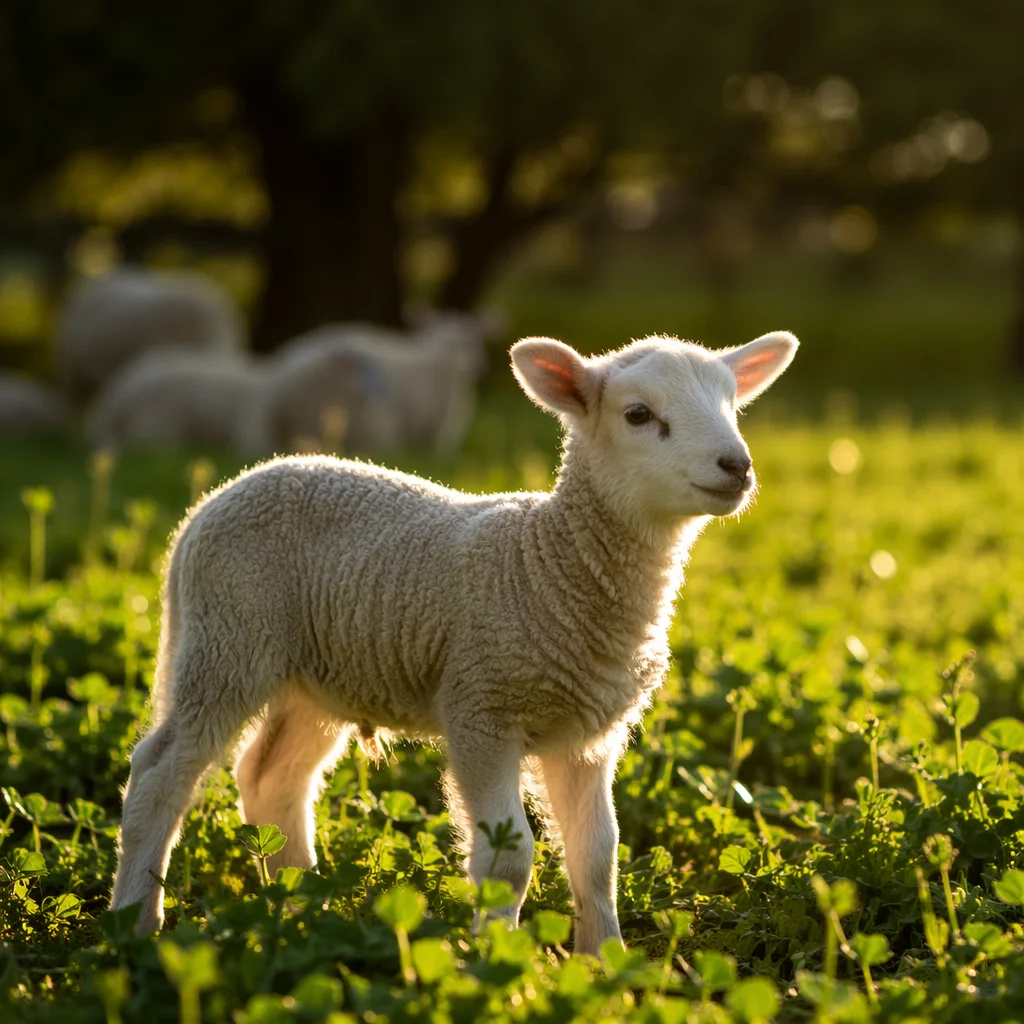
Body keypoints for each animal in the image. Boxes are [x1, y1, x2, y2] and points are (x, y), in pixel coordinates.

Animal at [110, 329, 798, 951]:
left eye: (732, 406)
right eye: (638, 415)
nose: (737, 466)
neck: (549, 562)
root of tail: (207, 506)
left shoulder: (587, 737)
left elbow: (598, 854)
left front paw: (606, 963)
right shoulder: (481, 709)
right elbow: (509, 860)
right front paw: (496, 964)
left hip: (317, 675)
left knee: (271, 777)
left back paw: (303, 906)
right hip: (228, 638)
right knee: (159, 773)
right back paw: (136, 920)